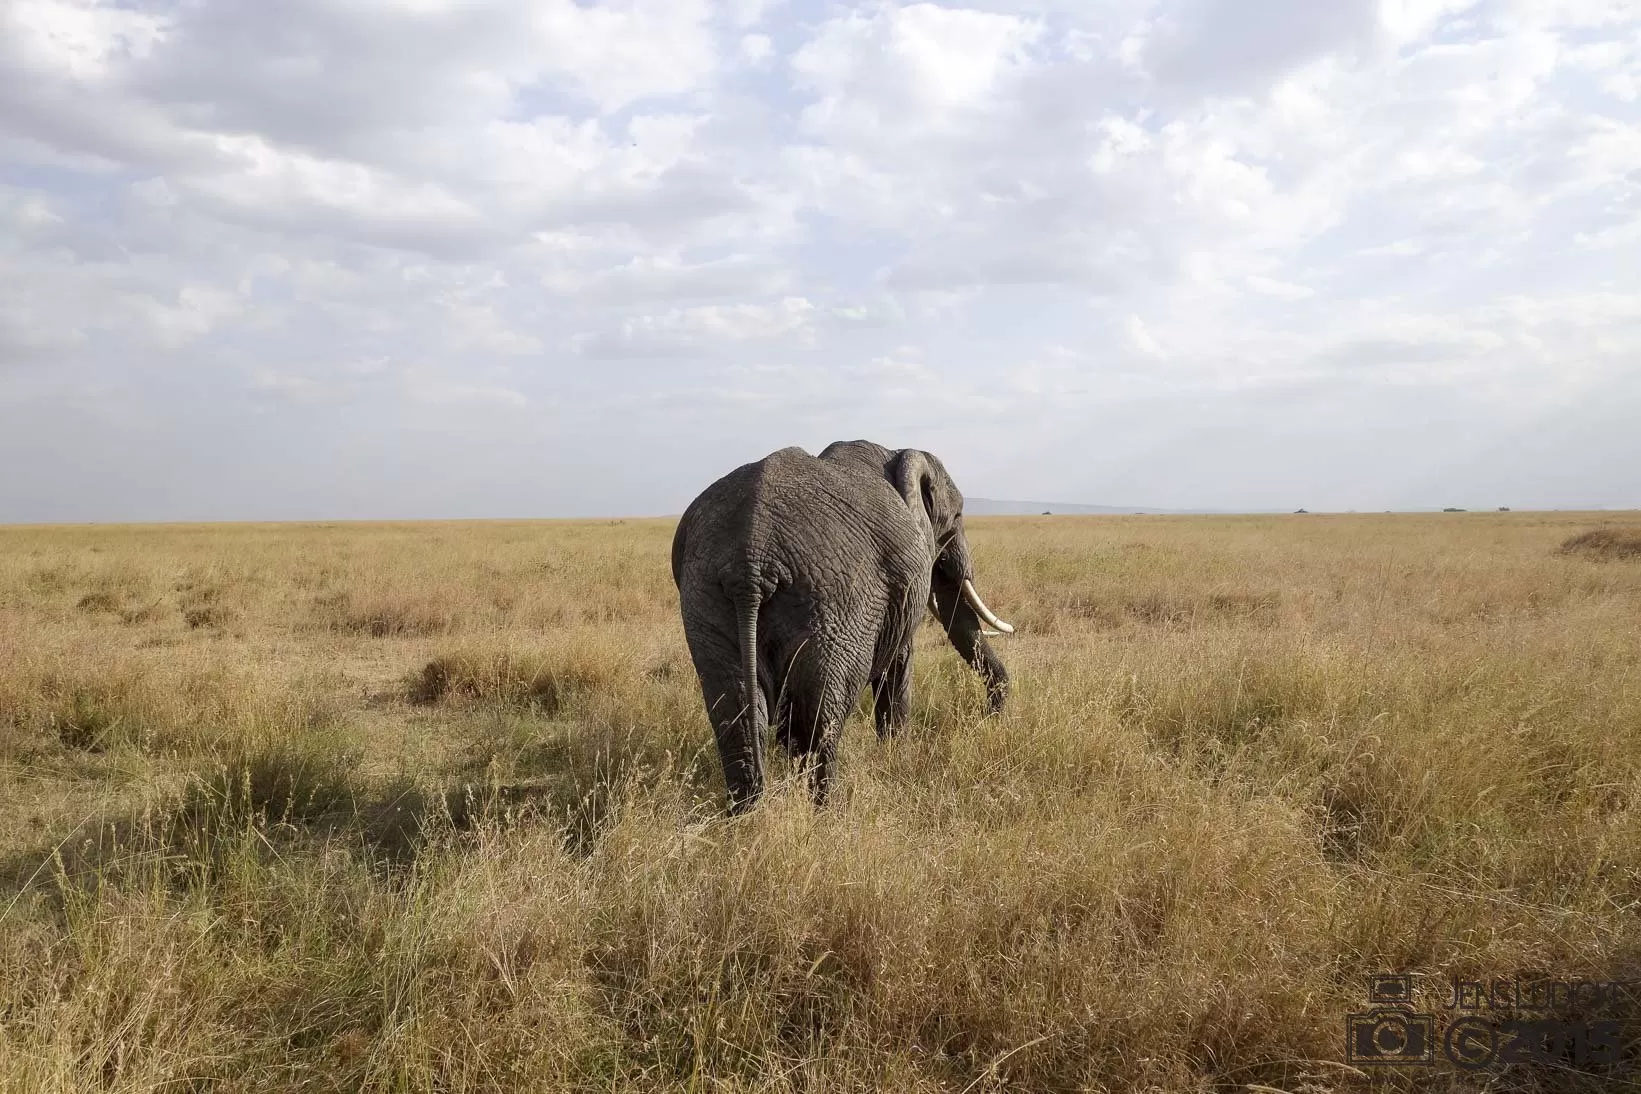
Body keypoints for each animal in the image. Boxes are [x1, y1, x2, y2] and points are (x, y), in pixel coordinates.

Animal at [670, 440, 1016, 814]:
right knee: (821, 714)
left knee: (736, 712)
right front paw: (894, 756)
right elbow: (898, 662)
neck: (897, 454)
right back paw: (824, 811)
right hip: (834, 601)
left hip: (706, 593)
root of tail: (751, 559)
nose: (988, 718)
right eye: (957, 518)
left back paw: (747, 814)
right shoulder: (905, 585)